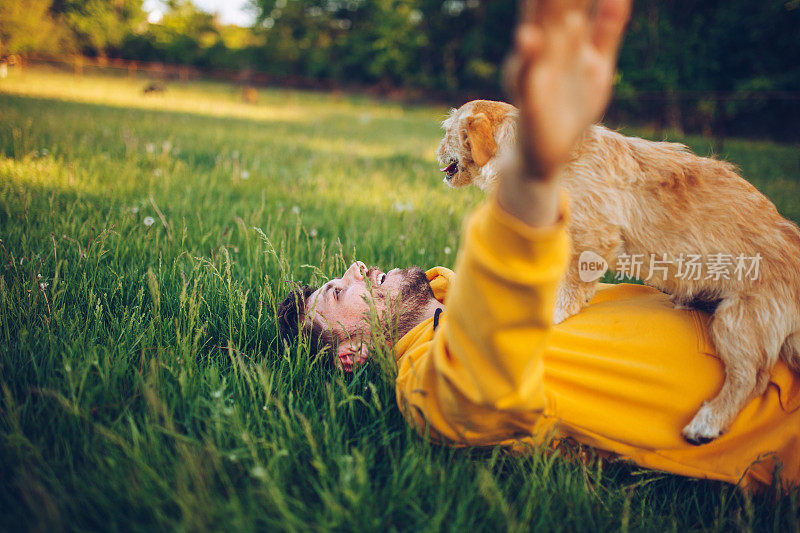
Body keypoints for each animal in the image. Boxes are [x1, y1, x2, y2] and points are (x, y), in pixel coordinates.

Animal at [438, 98, 800, 444]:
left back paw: (707, 423)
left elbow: (570, 288)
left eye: (446, 131)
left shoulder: (592, 237)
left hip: (737, 321)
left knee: (751, 378)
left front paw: (555, 315)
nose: (436, 152)